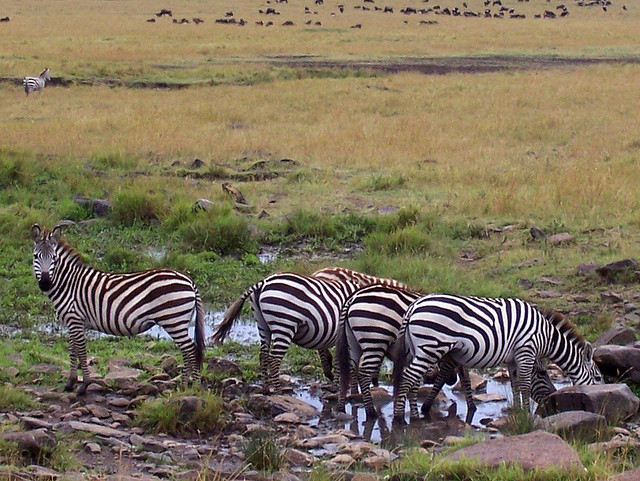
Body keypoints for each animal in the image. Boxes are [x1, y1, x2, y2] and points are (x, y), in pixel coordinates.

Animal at [31, 224, 205, 395]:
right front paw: (70, 383)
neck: (69, 283)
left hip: (173, 319)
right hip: (179, 320)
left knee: (190, 349)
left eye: (54, 258)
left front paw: (84, 385)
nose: (45, 283)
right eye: (35, 257)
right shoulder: (73, 322)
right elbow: (73, 350)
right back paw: (187, 385)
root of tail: (189, 280)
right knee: (189, 350)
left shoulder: (75, 319)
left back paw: (192, 386)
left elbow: (81, 351)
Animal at [210, 267, 409, 392]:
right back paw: (278, 390)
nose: (377, 382)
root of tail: (262, 283)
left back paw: (266, 388)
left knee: (263, 355)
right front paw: (345, 388)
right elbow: (345, 364)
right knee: (274, 359)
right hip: (284, 323)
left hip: (262, 324)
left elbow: (343, 363)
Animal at [336, 285, 557, 423]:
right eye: (542, 374)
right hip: (376, 339)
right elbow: (446, 378)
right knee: (364, 372)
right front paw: (427, 407)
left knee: (347, 371)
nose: (552, 399)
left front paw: (470, 407)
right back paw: (372, 412)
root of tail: (353, 297)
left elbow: (464, 378)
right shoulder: (450, 353)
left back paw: (344, 406)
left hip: (354, 342)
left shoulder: (458, 352)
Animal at [393, 294, 602, 423]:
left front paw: (518, 411)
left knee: (413, 379)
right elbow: (525, 385)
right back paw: (399, 418)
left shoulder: (512, 358)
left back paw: (413, 415)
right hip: (431, 346)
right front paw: (527, 414)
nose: (551, 397)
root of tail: (413, 306)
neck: (547, 335)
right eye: (599, 378)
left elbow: (515, 384)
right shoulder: (526, 349)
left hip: (418, 349)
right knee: (408, 378)